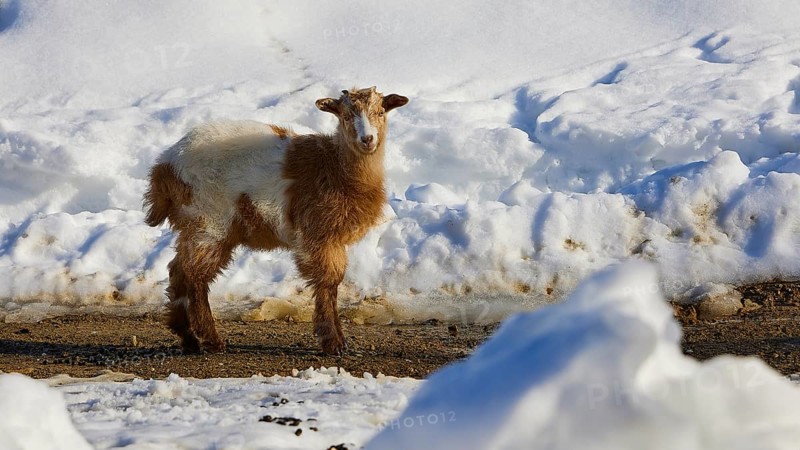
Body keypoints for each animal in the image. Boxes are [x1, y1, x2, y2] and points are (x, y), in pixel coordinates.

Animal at [143, 87, 409, 355]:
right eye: (345, 116)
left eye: (380, 112)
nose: (367, 139)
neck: (334, 166)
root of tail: (165, 167)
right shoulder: (316, 235)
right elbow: (327, 282)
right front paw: (332, 342)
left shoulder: (331, 240)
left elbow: (333, 283)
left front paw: (339, 340)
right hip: (208, 221)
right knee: (195, 277)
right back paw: (211, 339)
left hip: (193, 224)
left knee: (178, 271)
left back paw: (187, 337)